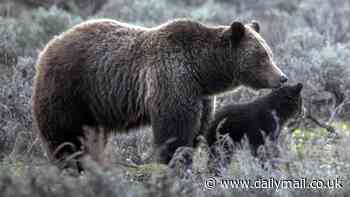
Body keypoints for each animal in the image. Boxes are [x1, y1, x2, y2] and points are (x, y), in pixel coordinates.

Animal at [31, 18, 288, 168]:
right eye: (262, 56)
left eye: (269, 52)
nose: (282, 77)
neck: (202, 71)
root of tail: (48, 46)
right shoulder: (173, 80)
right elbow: (174, 130)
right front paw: (173, 163)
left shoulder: (202, 97)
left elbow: (196, 131)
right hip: (70, 88)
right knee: (65, 135)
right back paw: (70, 164)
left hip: (94, 106)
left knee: (91, 136)